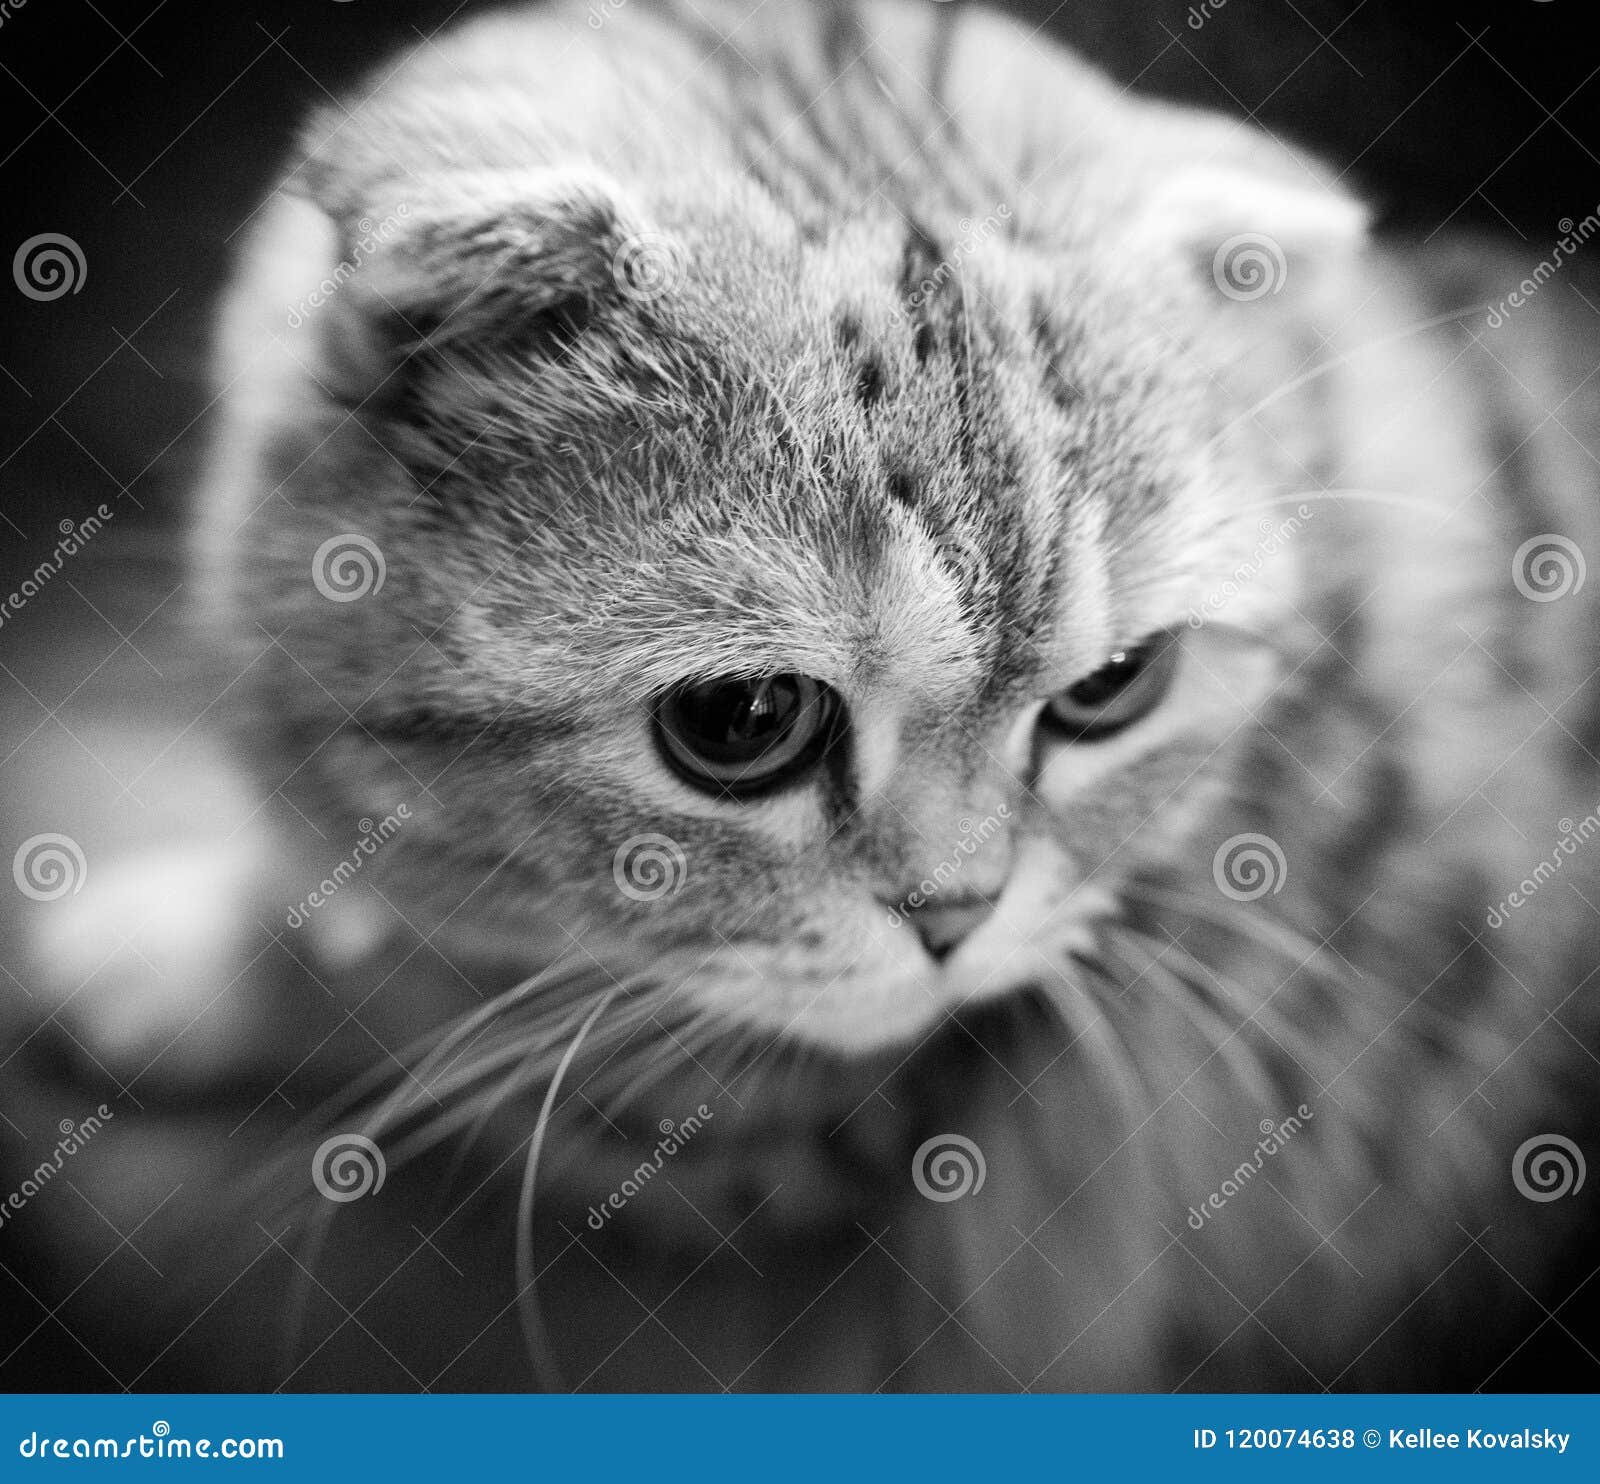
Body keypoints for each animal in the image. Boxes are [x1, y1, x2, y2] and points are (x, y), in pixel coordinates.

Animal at [3, 0, 1600, 1394]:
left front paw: (169, 950)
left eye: (1113, 688)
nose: (959, 922)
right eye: (745, 724)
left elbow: (413, 1001)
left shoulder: (772, 1114)